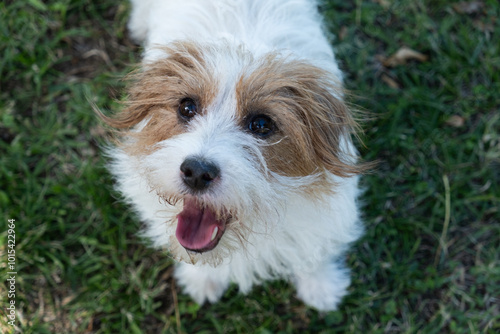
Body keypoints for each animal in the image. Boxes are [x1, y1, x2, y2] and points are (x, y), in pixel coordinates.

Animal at [102, 0, 368, 312]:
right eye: (186, 107)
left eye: (262, 124)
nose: (197, 172)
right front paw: (201, 279)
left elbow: (315, 248)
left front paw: (321, 286)